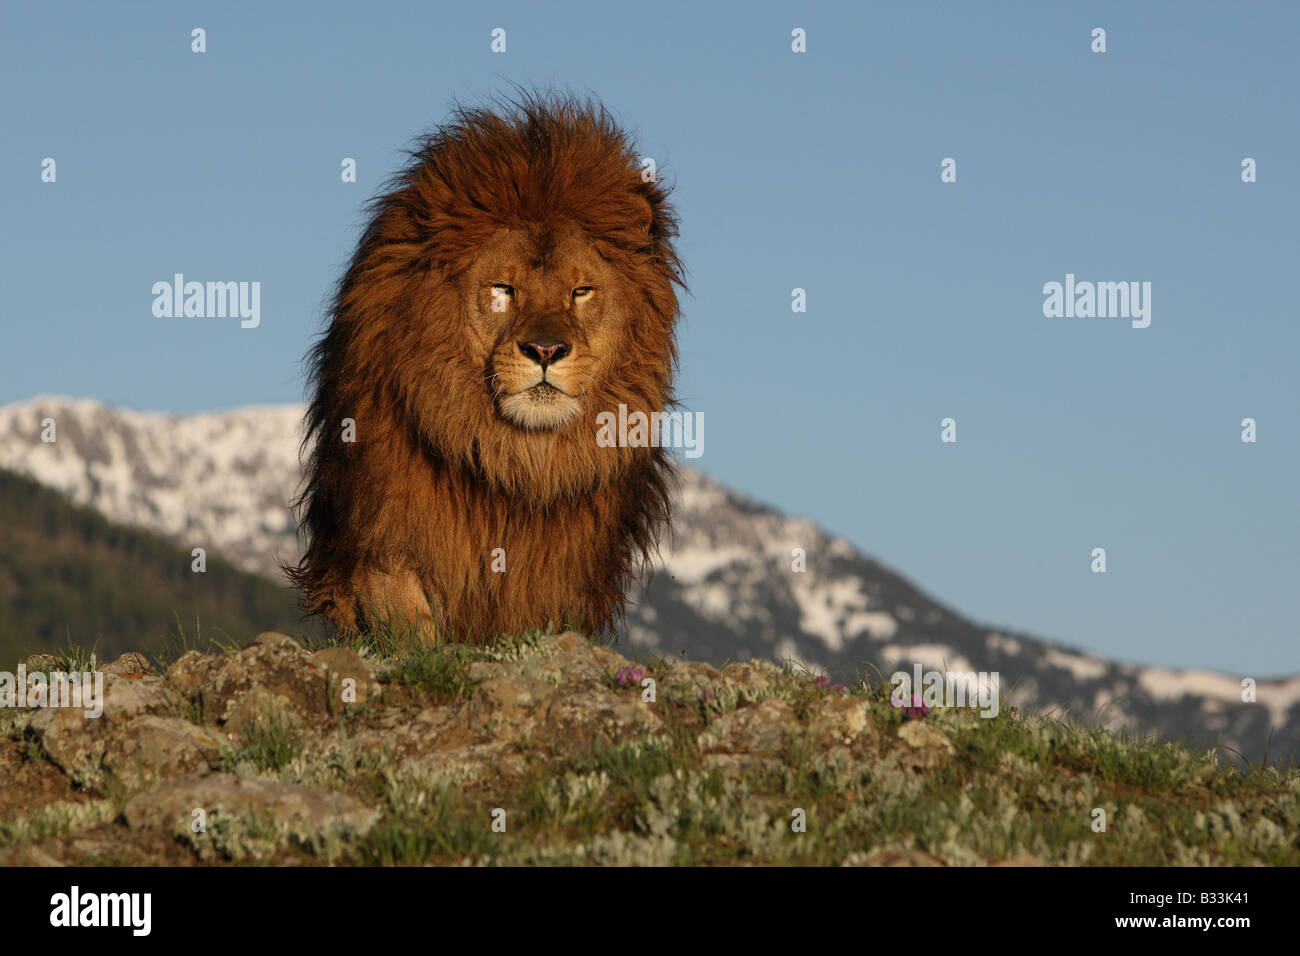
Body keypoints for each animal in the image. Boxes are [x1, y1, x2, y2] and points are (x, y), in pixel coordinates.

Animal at [288, 93, 686, 647]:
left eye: (581, 291)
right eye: (503, 289)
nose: (545, 349)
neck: (515, 458)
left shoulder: (562, 568)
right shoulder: (382, 536)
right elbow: (408, 623)